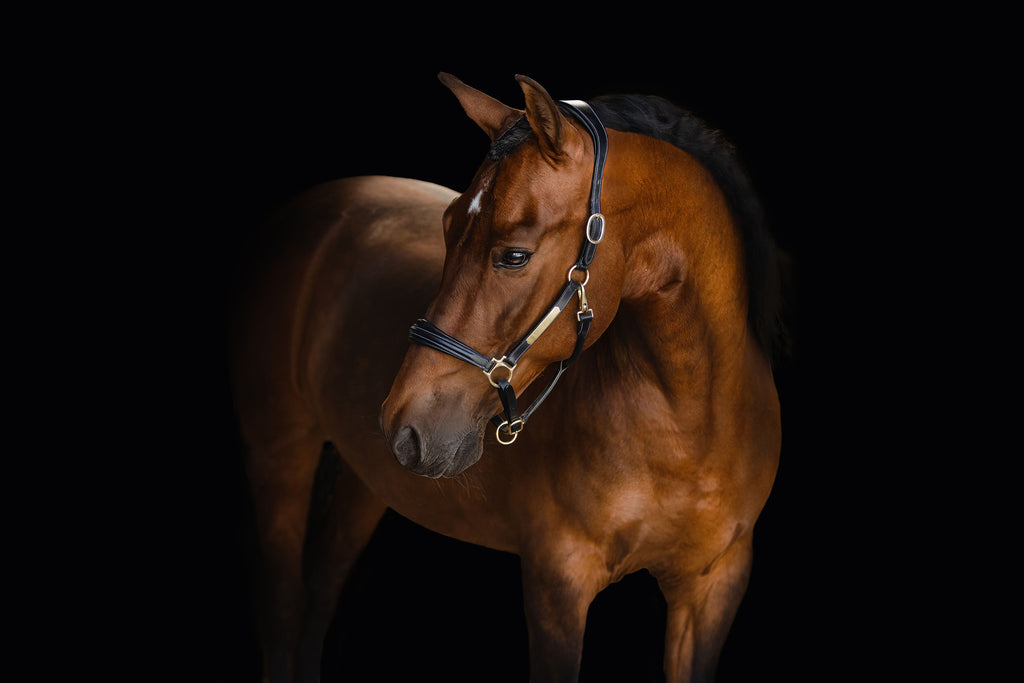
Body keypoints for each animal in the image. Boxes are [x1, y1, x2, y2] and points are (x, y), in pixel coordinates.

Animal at [230, 72, 784, 682]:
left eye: (515, 255)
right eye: (447, 228)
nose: (406, 425)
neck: (688, 424)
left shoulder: (714, 587)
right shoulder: (557, 583)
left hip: (364, 479)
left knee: (319, 596)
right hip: (280, 452)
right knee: (284, 609)